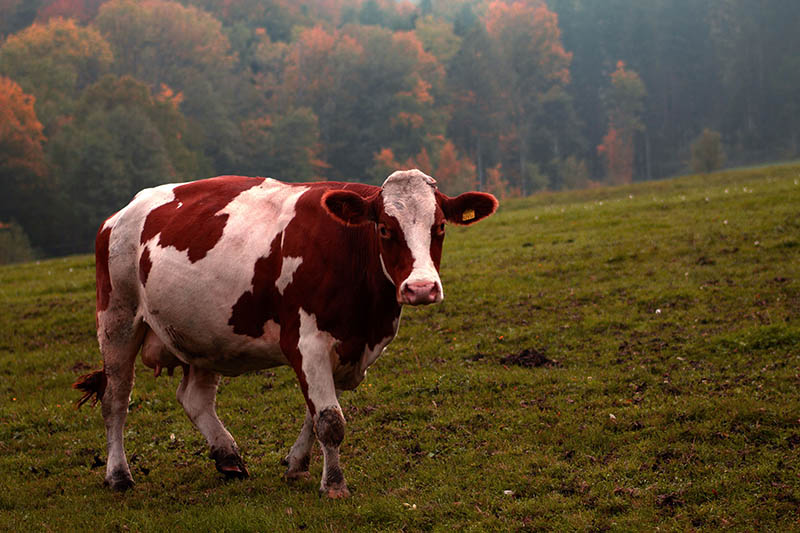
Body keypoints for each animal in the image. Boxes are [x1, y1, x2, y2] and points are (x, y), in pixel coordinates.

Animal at [76, 168, 500, 496]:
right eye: (384, 228)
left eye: (439, 227)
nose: (421, 288)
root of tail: (120, 214)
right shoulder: (306, 341)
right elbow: (330, 420)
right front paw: (334, 485)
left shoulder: (348, 347)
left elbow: (315, 414)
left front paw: (297, 464)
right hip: (117, 319)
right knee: (115, 399)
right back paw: (119, 475)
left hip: (204, 332)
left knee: (194, 398)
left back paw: (229, 458)